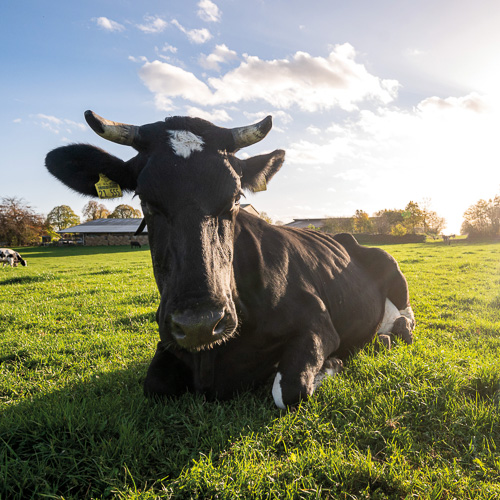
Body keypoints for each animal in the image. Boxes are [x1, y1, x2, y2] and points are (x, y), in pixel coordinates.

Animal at [46, 111, 414, 408]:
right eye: (145, 200)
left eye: (236, 199)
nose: (200, 323)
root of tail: (344, 236)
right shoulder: (168, 341)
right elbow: (155, 386)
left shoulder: (318, 323)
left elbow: (289, 389)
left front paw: (332, 364)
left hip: (390, 266)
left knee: (405, 319)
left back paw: (391, 335)